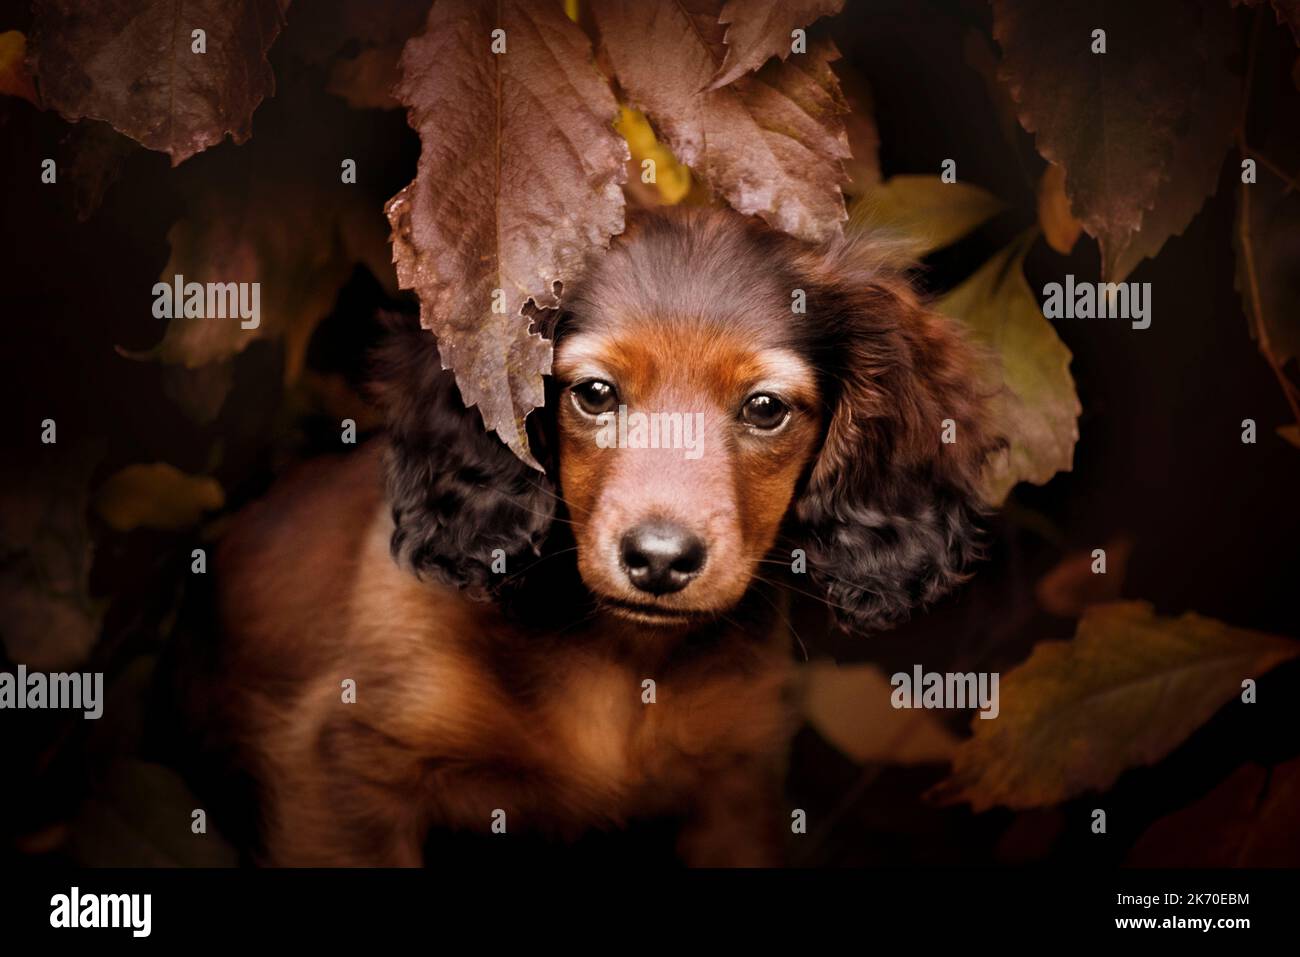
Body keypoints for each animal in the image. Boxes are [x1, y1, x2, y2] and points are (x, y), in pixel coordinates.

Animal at [208, 205, 998, 863]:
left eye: (766, 407)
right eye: (594, 392)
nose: (659, 560)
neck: (621, 660)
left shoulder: (735, 790)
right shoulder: (345, 769)